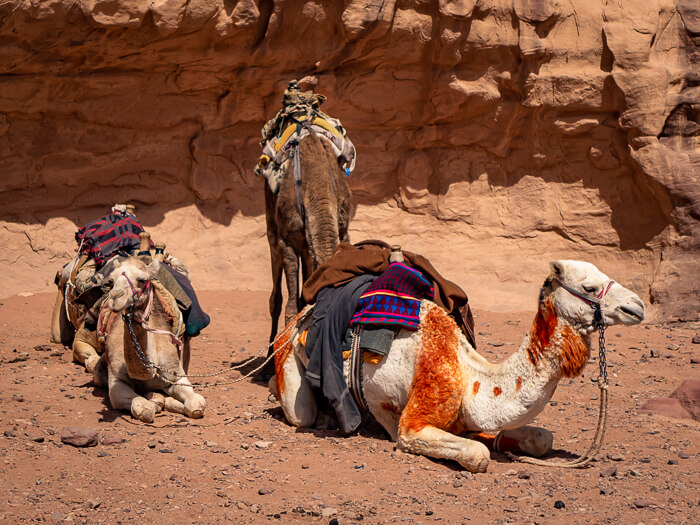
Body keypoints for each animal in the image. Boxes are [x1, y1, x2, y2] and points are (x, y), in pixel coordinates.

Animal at [94, 256, 205, 423]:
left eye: (142, 280)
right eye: (111, 281)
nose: (115, 298)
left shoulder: (176, 375)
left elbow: (196, 404)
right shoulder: (116, 382)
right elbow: (144, 408)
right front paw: (155, 401)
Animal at [271, 260, 645, 472]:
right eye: (590, 287)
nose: (637, 306)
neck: (471, 378)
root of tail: (300, 316)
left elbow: (540, 438)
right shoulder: (415, 420)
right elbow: (477, 454)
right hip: (287, 357)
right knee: (300, 412)